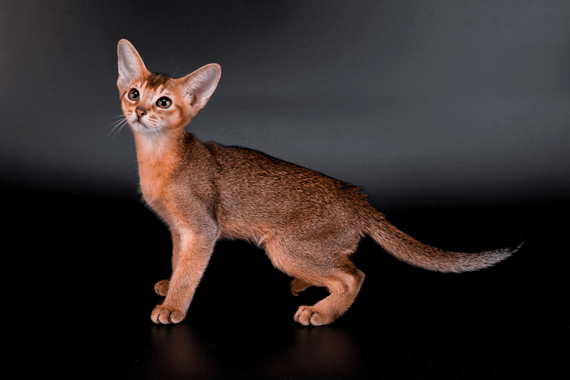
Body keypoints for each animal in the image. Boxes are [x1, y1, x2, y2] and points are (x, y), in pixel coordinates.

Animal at [115, 39, 520, 326]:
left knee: (354, 275)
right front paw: (169, 284)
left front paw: (173, 306)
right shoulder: (177, 229)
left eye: (164, 102)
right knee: (343, 263)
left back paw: (322, 312)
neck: (160, 161)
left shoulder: (201, 229)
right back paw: (308, 286)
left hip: (283, 247)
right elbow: (178, 260)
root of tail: (356, 197)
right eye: (134, 93)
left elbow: (190, 270)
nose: (140, 111)